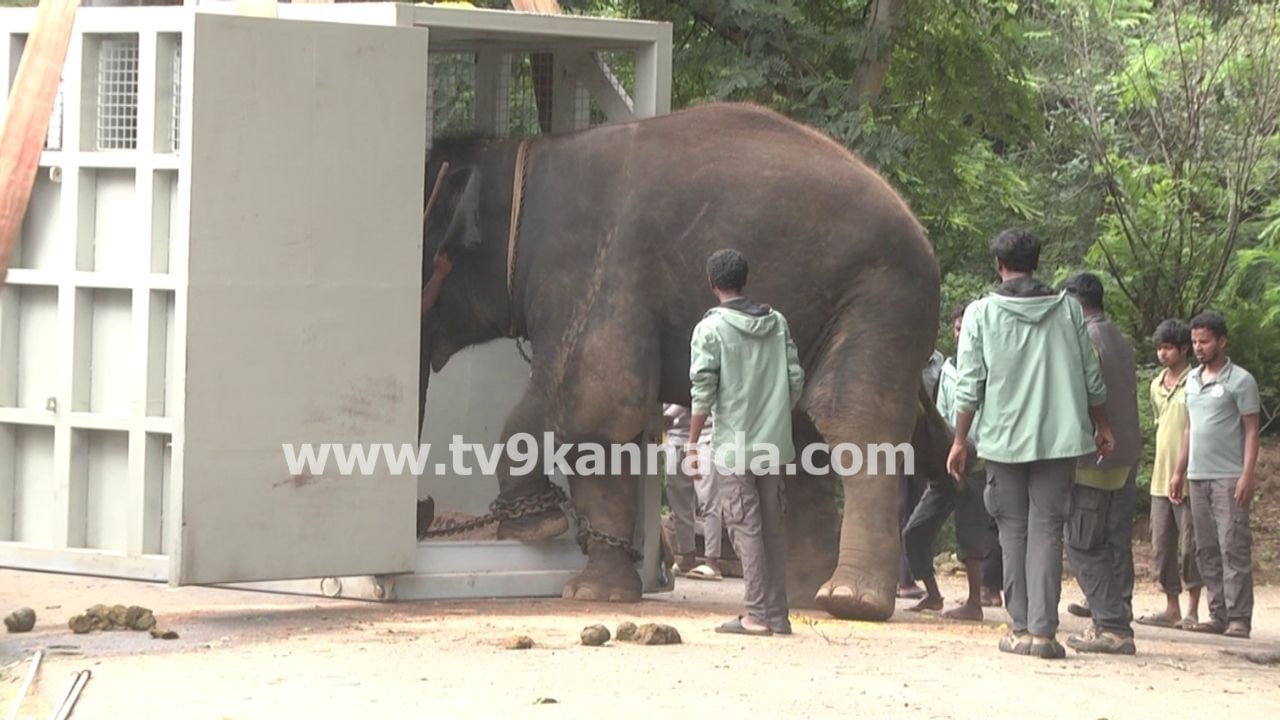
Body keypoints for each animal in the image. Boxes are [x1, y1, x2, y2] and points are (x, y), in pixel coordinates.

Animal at [417, 102, 944, 621]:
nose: (423, 512)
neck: (515, 159)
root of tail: (922, 231)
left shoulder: (596, 269)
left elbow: (597, 401)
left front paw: (535, 526)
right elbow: (605, 431)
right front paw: (597, 594)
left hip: (884, 301)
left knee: (850, 417)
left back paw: (850, 600)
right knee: (803, 435)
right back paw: (803, 597)